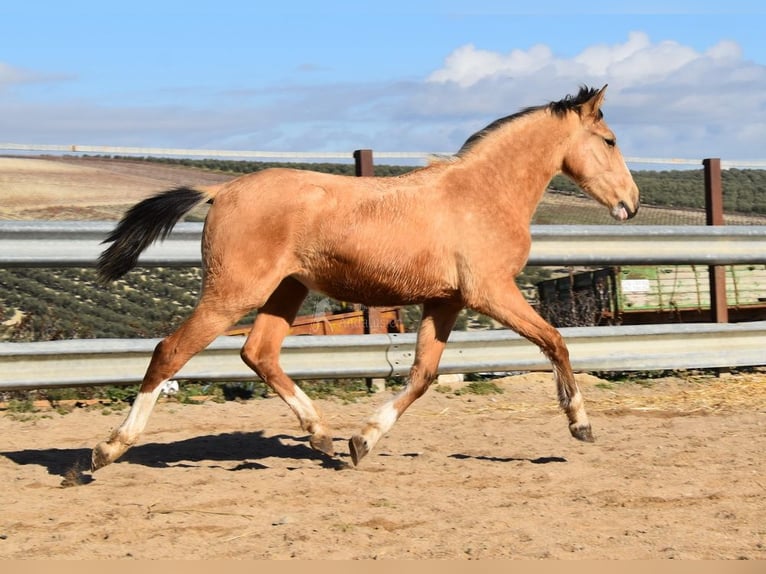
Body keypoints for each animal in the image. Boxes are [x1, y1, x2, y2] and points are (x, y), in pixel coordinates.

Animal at [90, 84, 640, 472]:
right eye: (610, 141)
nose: (630, 204)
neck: (481, 193)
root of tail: (221, 190)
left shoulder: (446, 301)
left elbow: (422, 376)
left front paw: (362, 440)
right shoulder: (491, 293)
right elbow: (555, 341)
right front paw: (581, 425)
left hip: (285, 290)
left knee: (258, 352)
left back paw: (321, 435)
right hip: (233, 293)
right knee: (170, 351)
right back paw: (107, 449)